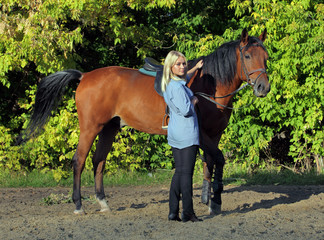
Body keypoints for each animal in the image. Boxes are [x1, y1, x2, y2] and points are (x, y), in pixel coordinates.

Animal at [21, 28, 270, 214]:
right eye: (247, 56)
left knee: (98, 161)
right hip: (90, 128)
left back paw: (103, 202)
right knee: (79, 161)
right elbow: (218, 159)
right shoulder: (202, 133)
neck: (209, 86)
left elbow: (210, 162)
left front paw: (208, 200)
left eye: (266, 57)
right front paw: (215, 200)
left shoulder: (214, 134)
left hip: (109, 129)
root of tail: (85, 76)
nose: (263, 87)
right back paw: (79, 205)